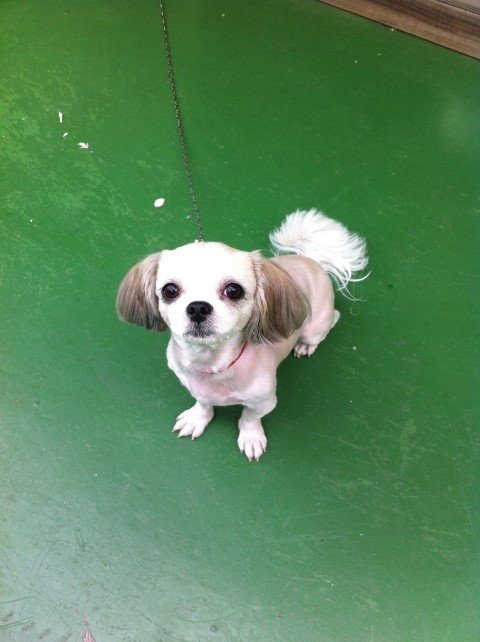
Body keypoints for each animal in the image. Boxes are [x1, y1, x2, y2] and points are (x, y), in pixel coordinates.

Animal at [117, 209, 367, 460]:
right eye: (170, 290)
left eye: (233, 290)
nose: (197, 307)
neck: (211, 365)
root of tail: (312, 260)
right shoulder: (196, 388)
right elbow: (203, 404)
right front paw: (197, 419)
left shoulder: (264, 402)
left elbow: (249, 417)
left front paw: (251, 437)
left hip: (315, 326)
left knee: (331, 320)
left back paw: (305, 345)